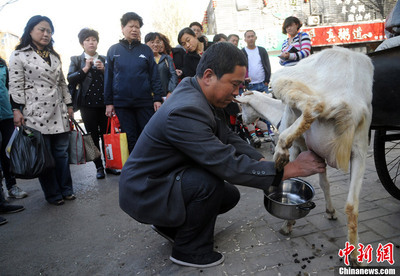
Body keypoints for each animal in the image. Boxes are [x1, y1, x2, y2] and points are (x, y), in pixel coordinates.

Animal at [236, 47, 374, 266]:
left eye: (243, 106)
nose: (240, 118)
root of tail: (350, 101)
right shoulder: (318, 153)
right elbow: (325, 184)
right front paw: (330, 212)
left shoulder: (297, 147)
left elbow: (293, 173)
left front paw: (288, 223)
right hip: (360, 148)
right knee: (352, 206)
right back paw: (354, 256)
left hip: (287, 79)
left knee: (313, 106)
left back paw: (280, 148)